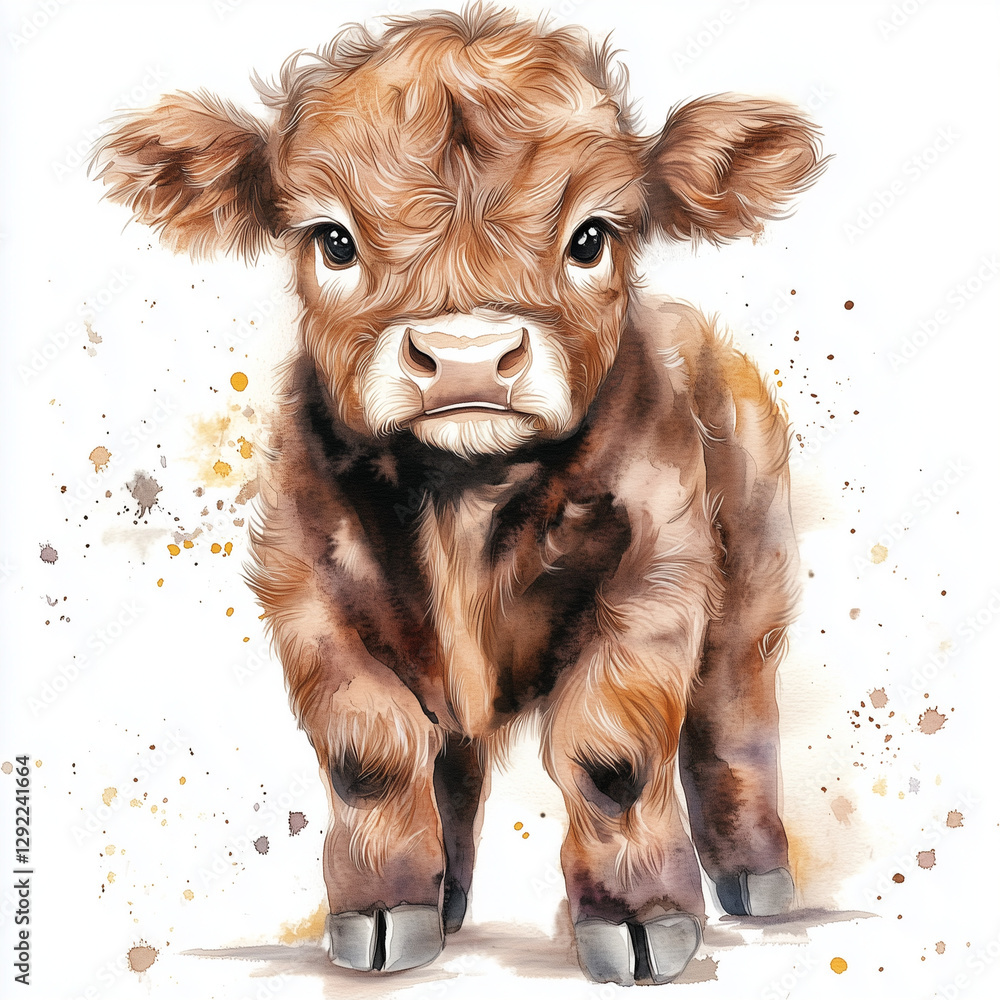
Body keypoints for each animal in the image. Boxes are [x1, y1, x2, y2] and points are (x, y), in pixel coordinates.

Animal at [93, 4, 825, 985]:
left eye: (591, 237)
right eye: (333, 239)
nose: (468, 357)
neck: (464, 493)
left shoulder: (656, 585)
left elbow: (613, 757)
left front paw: (642, 920)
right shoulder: (308, 593)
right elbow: (371, 754)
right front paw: (382, 909)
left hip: (749, 596)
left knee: (732, 722)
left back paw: (756, 880)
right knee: (454, 758)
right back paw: (442, 898)